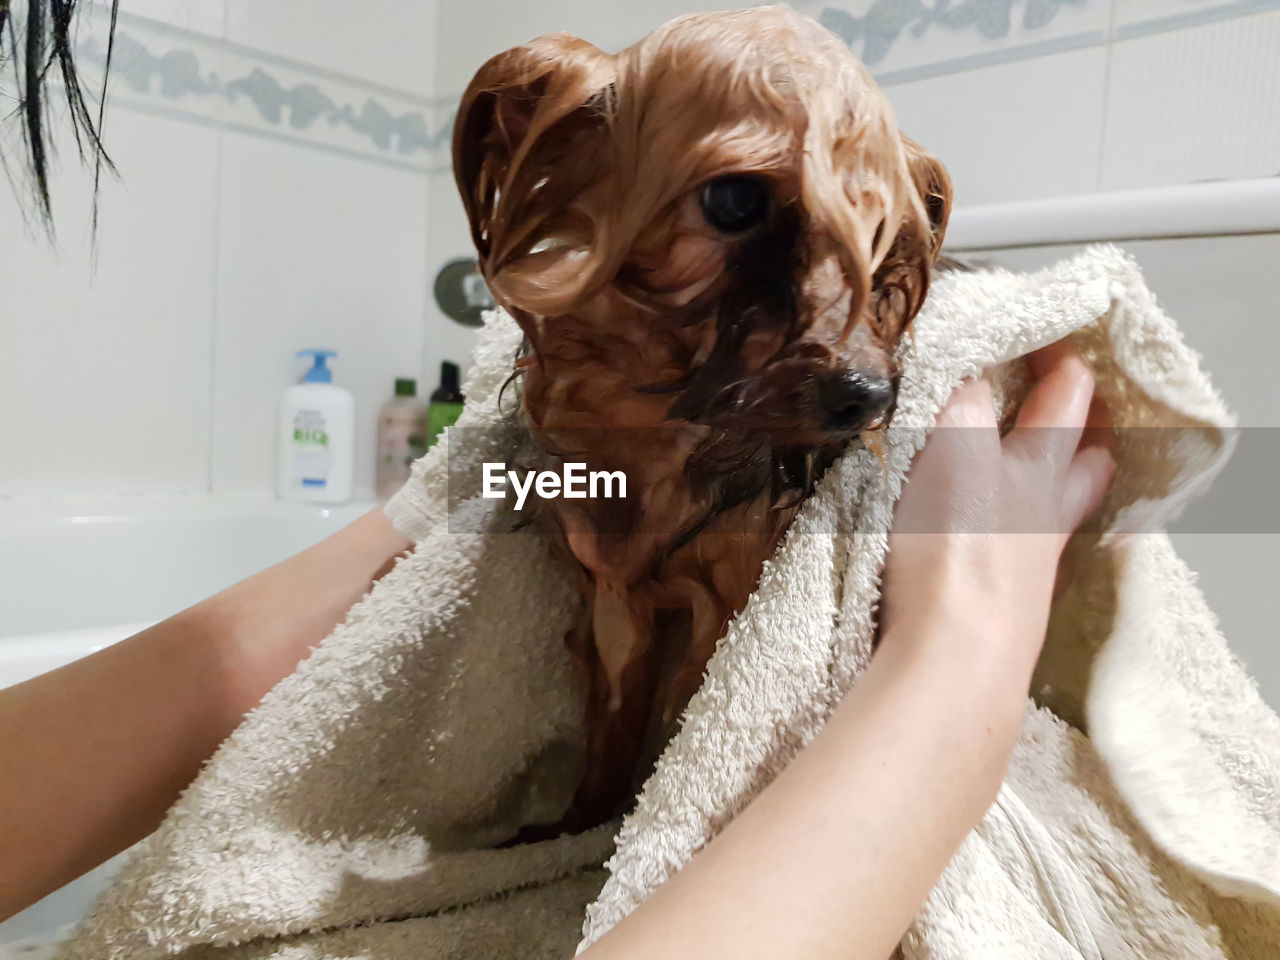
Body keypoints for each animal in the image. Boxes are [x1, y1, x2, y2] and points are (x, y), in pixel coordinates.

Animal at [453, 3, 952, 829]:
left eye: (884, 241)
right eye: (735, 201)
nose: (869, 395)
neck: (663, 423)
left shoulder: (732, 599)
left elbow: (682, 743)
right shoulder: (616, 607)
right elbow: (612, 740)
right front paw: (576, 830)